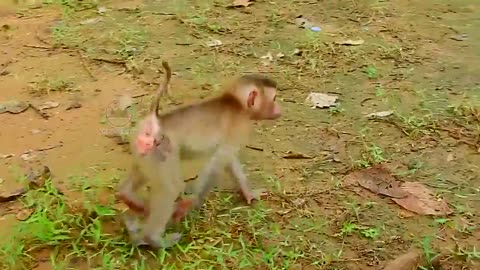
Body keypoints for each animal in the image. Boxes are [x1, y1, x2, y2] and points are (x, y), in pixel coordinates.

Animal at [116, 63, 282, 249]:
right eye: (274, 98)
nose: (279, 108)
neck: (237, 104)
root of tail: (154, 122)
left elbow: (229, 160)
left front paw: (249, 193)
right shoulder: (241, 126)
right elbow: (217, 162)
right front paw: (190, 203)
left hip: (143, 150)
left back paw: (128, 197)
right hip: (162, 149)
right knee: (171, 188)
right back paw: (154, 239)